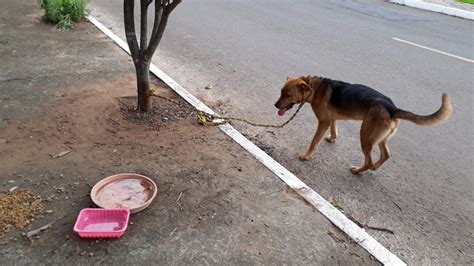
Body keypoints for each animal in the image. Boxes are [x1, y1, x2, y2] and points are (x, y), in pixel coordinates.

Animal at [274, 75, 452, 175]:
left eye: (287, 95)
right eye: (281, 92)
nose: (275, 105)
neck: (314, 88)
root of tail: (392, 108)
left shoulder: (323, 122)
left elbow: (314, 141)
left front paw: (306, 155)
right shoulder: (332, 119)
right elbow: (334, 129)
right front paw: (332, 138)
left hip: (365, 136)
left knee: (369, 161)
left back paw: (358, 171)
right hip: (379, 138)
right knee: (385, 155)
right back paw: (374, 167)